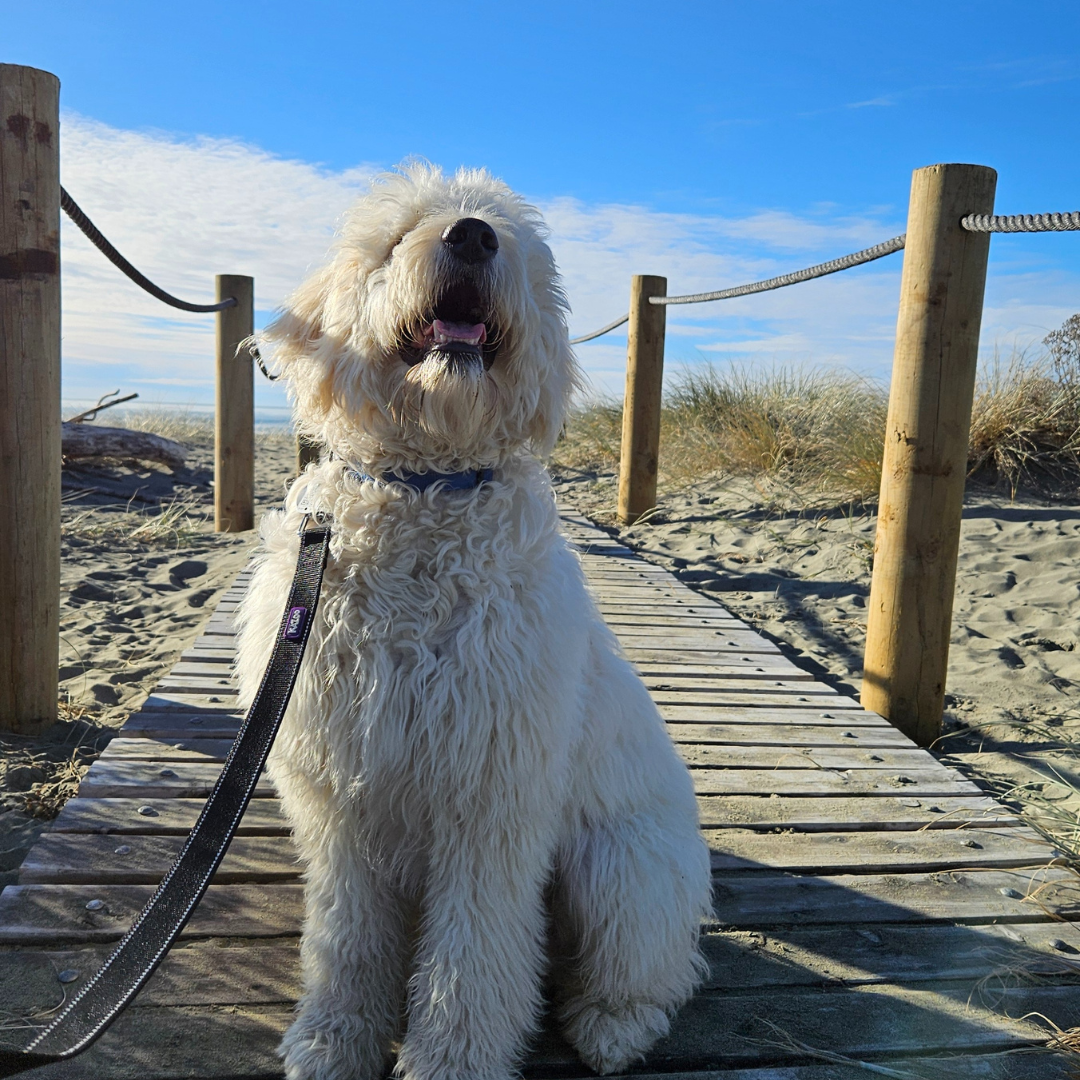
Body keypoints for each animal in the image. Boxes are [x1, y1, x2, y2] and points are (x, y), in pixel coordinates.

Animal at [234, 166, 708, 1080]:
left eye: (510, 240)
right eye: (397, 237)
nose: (472, 235)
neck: (425, 487)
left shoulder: (490, 793)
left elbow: (473, 954)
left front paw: (452, 1058)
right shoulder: (338, 790)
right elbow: (346, 935)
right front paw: (335, 1035)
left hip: (623, 868)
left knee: (653, 968)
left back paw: (613, 1024)